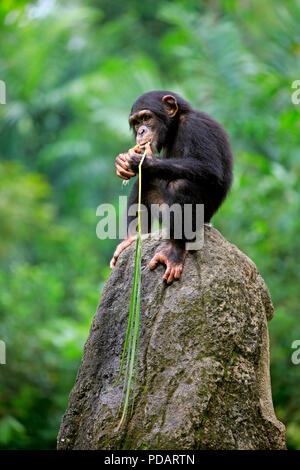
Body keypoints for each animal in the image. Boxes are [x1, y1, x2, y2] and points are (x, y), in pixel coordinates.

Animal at [109, 91, 233, 282]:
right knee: (144, 181)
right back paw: (131, 239)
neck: (175, 126)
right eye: (136, 122)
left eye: (146, 117)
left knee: (181, 185)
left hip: (201, 215)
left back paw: (173, 252)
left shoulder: (196, 126)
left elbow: (209, 167)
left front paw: (144, 160)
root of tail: (209, 222)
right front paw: (122, 161)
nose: (141, 131)